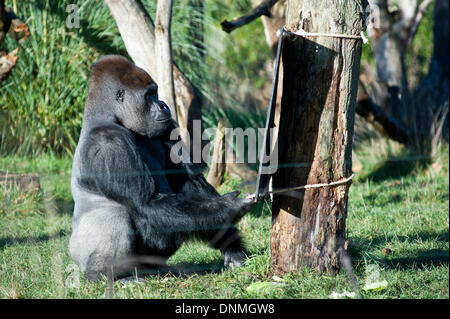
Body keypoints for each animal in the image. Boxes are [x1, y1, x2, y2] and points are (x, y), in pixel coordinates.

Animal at [69, 56, 255, 282]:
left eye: (155, 92)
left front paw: (231, 246)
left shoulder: (167, 128)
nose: (164, 105)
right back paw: (108, 275)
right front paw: (230, 208)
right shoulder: (109, 143)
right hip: (82, 257)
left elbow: (190, 183)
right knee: (119, 217)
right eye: (148, 96)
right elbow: (146, 202)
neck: (108, 118)